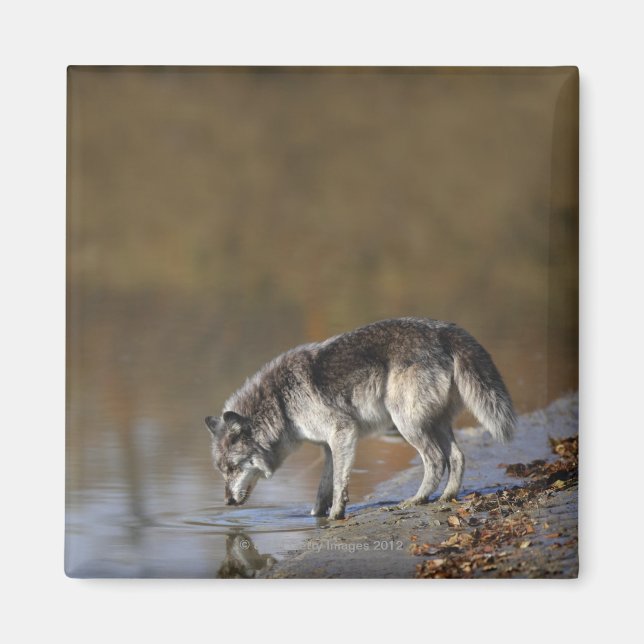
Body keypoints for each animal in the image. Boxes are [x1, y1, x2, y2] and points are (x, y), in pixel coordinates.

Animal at [205, 317, 516, 520]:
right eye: (222, 470)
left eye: (232, 468)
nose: (227, 501)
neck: (280, 401)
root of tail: (444, 331)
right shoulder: (328, 446)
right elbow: (323, 488)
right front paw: (315, 516)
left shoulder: (343, 432)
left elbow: (339, 483)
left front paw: (336, 515)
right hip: (435, 424)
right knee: (458, 457)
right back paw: (446, 497)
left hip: (407, 424)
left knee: (437, 460)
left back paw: (415, 500)